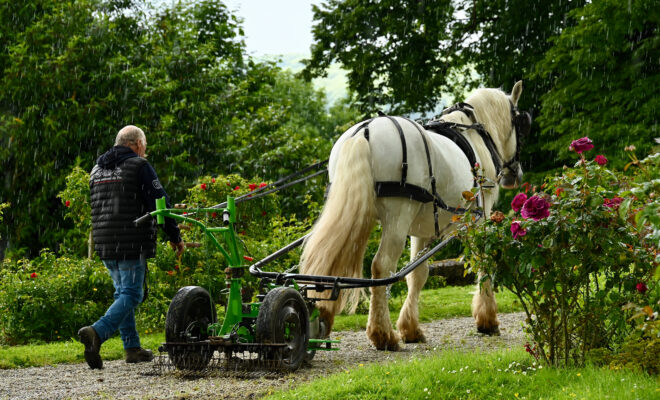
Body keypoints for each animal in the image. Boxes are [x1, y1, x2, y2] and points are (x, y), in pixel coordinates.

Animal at [302, 81, 524, 350]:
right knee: (381, 266)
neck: (476, 136)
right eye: (518, 121)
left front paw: (410, 328)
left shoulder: (422, 228)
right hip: (397, 218)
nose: (515, 174)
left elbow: (417, 274)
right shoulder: (477, 220)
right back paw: (382, 334)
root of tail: (364, 132)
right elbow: (483, 261)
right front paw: (487, 319)